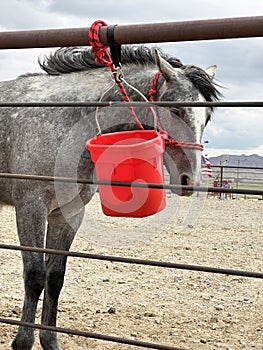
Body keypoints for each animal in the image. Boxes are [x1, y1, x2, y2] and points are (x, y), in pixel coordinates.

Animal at [0, 46, 221, 350]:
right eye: (175, 110)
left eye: (207, 117)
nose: (192, 181)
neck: (62, 119)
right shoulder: (30, 207)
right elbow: (34, 276)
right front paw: (22, 342)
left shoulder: (68, 213)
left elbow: (54, 277)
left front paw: (50, 341)